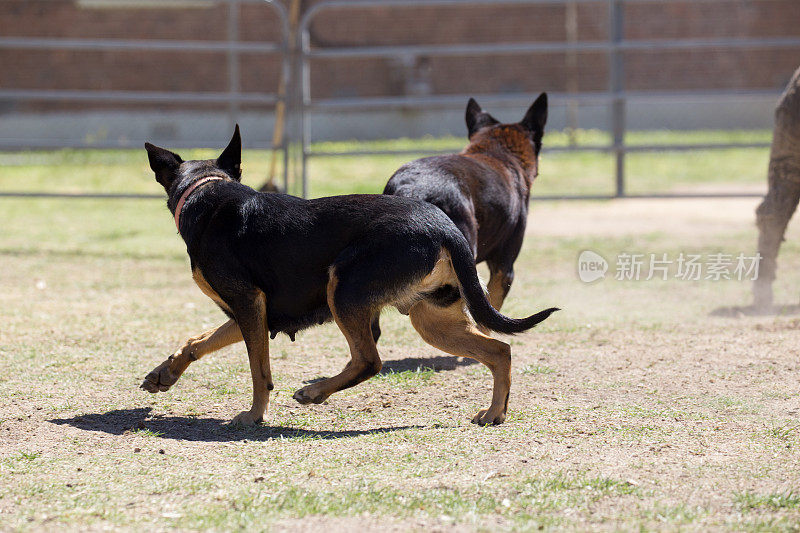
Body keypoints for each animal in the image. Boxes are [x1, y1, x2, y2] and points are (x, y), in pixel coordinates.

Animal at [141, 127, 556, 426]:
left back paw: (315, 392)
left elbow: (260, 371)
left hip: (343, 289)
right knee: (499, 351)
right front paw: (165, 374)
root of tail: (443, 227)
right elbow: (197, 341)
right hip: (432, 318)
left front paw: (255, 416)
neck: (207, 190)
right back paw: (495, 412)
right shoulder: (252, 312)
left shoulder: (247, 303)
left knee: (369, 360)